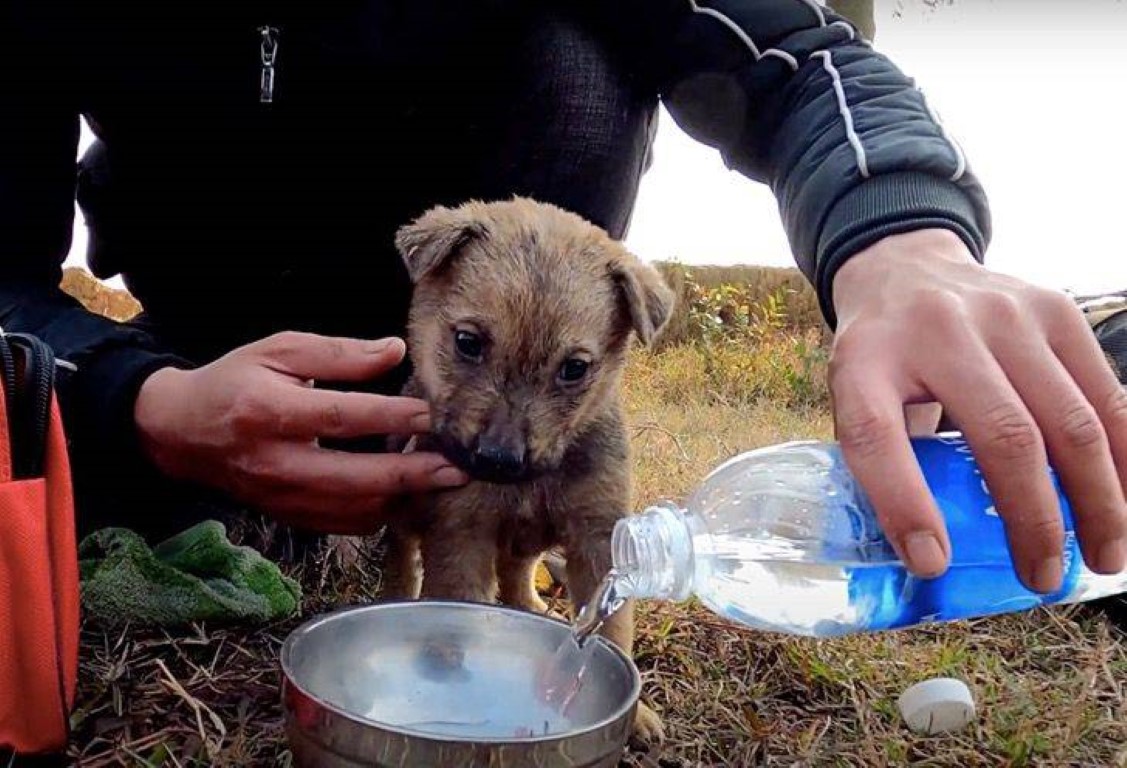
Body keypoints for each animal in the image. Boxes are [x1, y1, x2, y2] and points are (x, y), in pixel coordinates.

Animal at [383, 195, 671, 739]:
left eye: (575, 368)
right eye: (468, 342)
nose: (499, 461)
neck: (533, 481)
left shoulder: (597, 535)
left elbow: (613, 628)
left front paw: (636, 713)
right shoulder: (461, 530)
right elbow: (459, 602)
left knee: (518, 571)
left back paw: (531, 605)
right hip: (405, 514)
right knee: (402, 559)